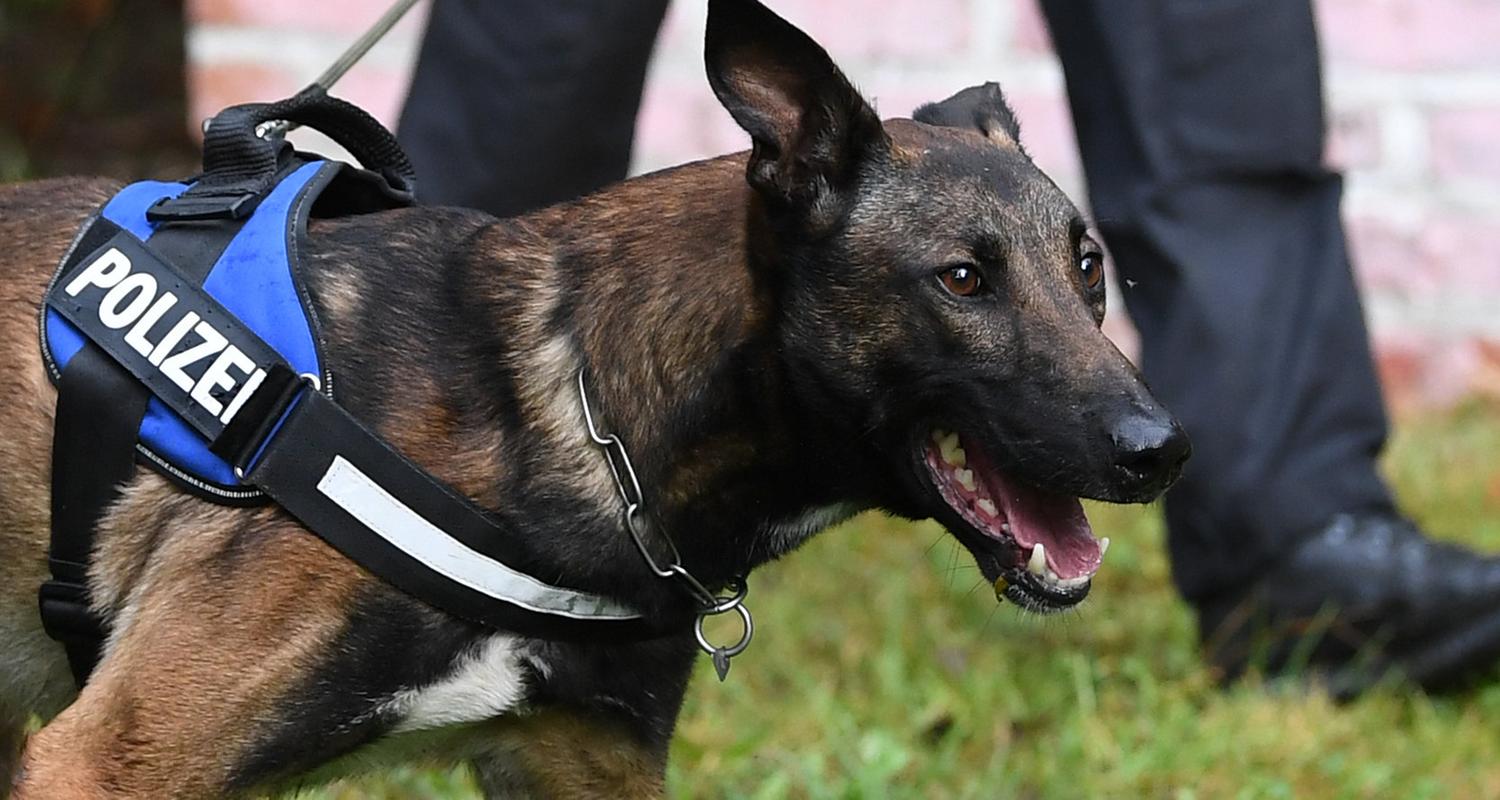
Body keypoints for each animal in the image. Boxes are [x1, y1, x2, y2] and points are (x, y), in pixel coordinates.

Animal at [0, 0, 1188, 792]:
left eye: (1090, 268)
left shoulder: (586, 762)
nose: (1162, 449)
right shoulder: (104, 760)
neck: (569, 408)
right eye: (963, 279)